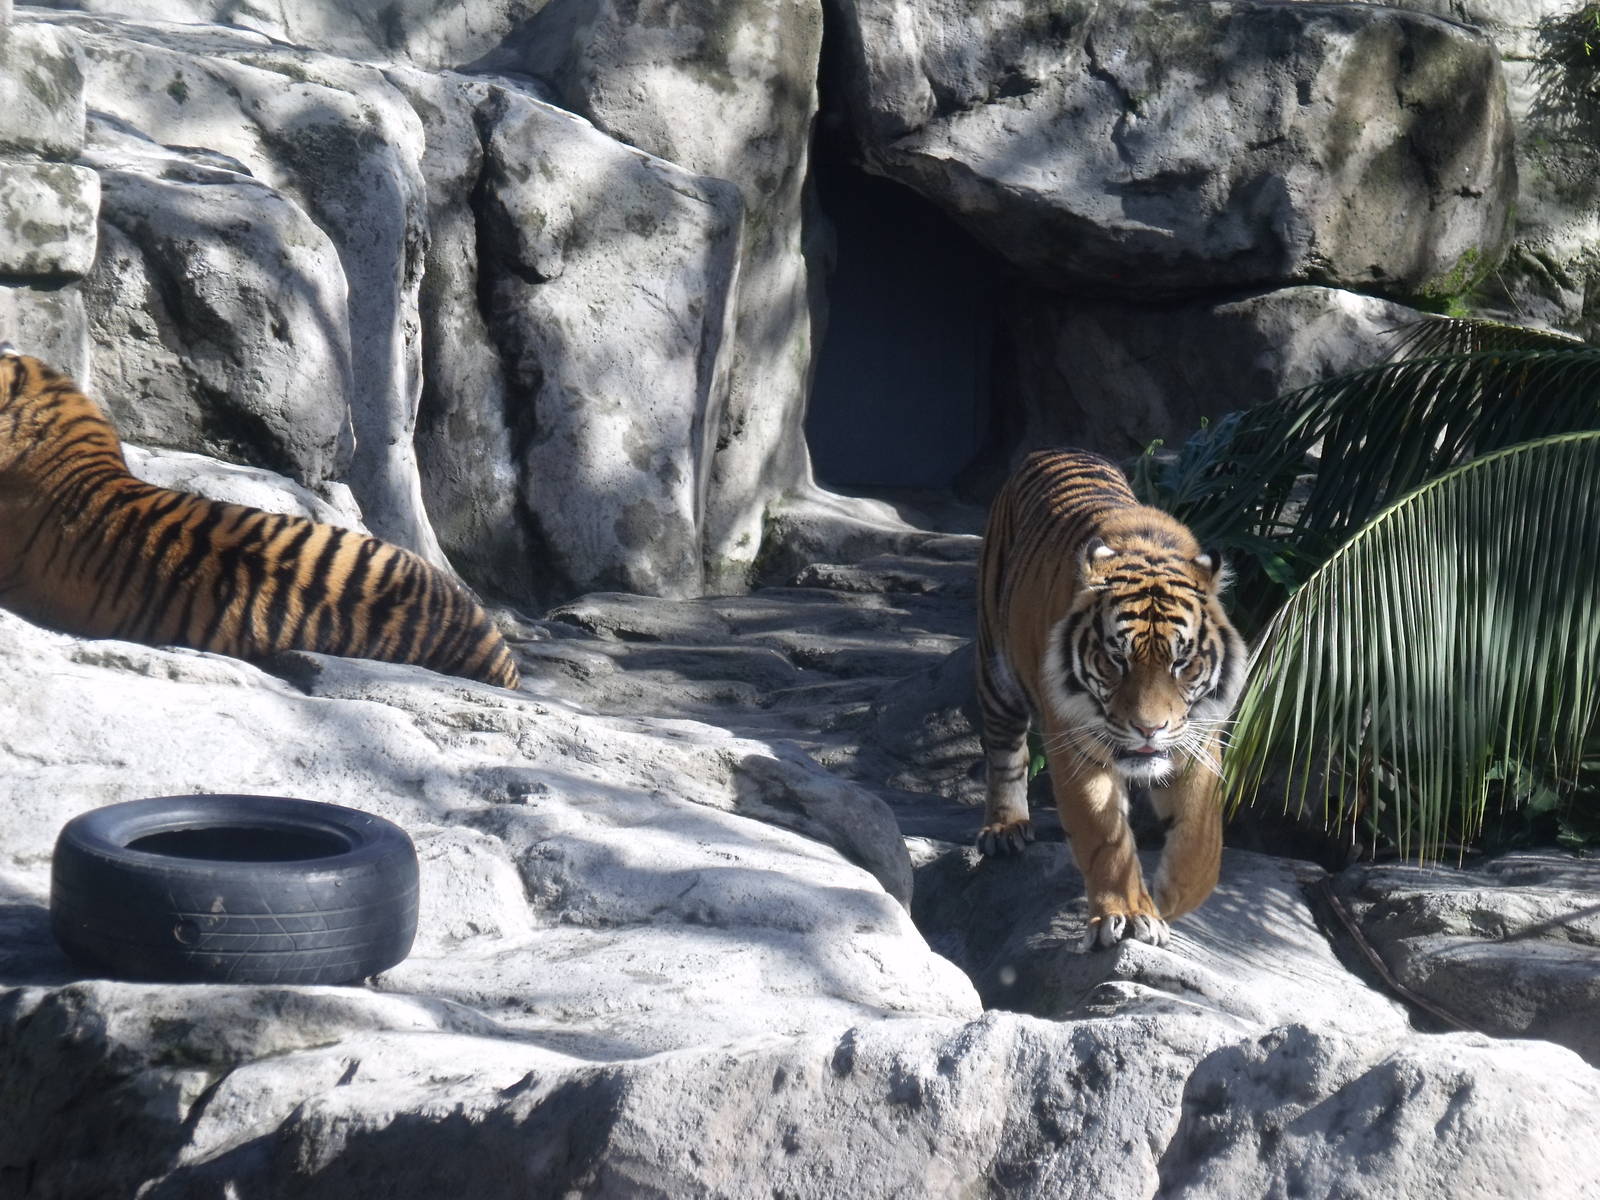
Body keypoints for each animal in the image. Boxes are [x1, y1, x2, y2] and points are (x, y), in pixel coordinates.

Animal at [975, 448, 1246, 950]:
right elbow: (1105, 838)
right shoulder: (1076, 742)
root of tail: (1052, 449)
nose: (1148, 729)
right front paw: (1127, 913)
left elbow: (1202, 842)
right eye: (1116, 660)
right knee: (1004, 751)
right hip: (995, 666)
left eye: (1181, 663)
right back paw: (1005, 827)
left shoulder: (1197, 738)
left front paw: (1170, 897)